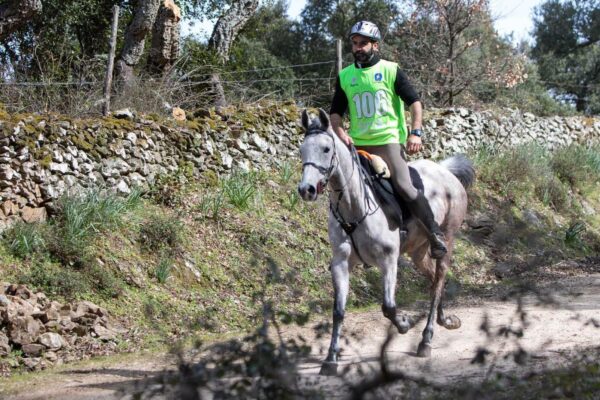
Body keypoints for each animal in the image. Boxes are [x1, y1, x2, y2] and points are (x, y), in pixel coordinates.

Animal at [298, 108, 476, 376]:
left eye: (326, 149)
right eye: (301, 150)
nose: (306, 189)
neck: (354, 206)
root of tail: (444, 170)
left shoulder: (389, 260)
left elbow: (388, 306)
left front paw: (404, 323)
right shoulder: (340, 263)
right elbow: (338, 311)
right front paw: (331, 359)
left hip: (447, 239)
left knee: (438, 279)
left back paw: (426, 339)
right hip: (417, 251)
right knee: (433, 279)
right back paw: (444, 320)